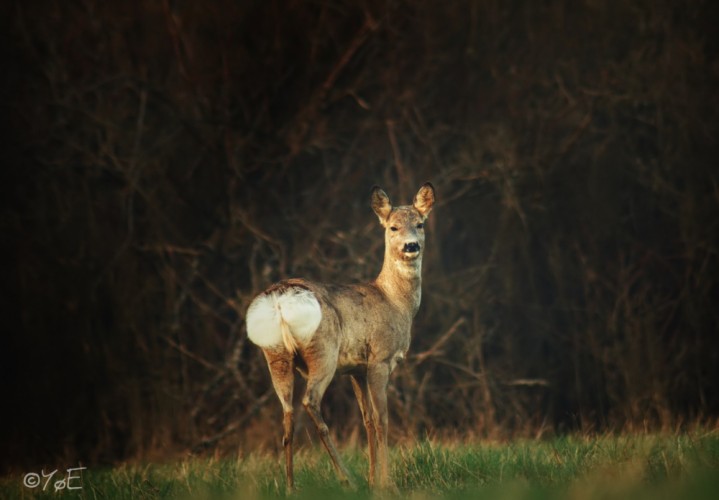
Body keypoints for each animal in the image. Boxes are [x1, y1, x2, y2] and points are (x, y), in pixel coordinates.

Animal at [248, 184, 436, 488]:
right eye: (393, 227)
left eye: (420, 224)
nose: (411, 246)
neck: (396, 302)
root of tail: (280, 300)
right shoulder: (380, 358)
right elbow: (382, 419)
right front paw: (386, 483)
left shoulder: (355, 369)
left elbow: (367, 419)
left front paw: (373, 480)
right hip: (323, 350)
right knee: (310, 401)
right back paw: (346, 478)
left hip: (275, 354)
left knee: (287, 413)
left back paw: (290, 487)